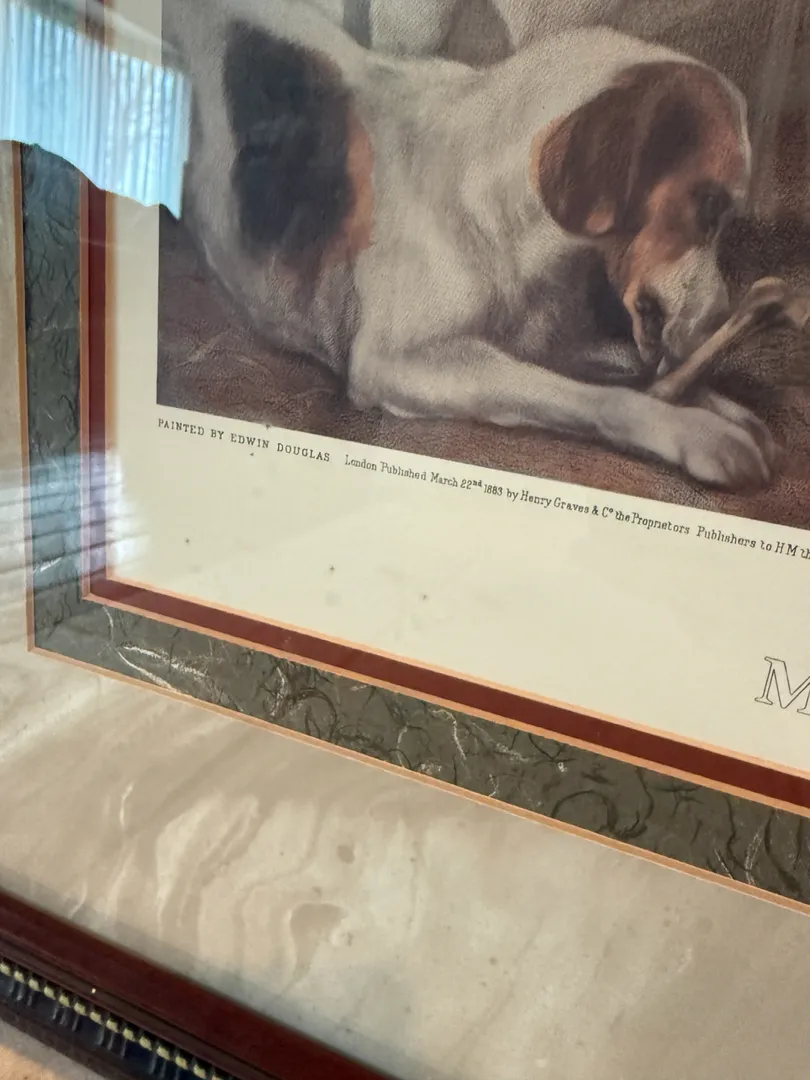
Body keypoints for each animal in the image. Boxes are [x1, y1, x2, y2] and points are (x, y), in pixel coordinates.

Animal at [164, 0, 776, 489]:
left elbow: (624, 369)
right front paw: (695, 431)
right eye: (708, 205)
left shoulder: (539, 340)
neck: (497, 214)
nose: (723, 316)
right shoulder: (398, 361)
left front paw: (716, 403)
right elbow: (587, 395)